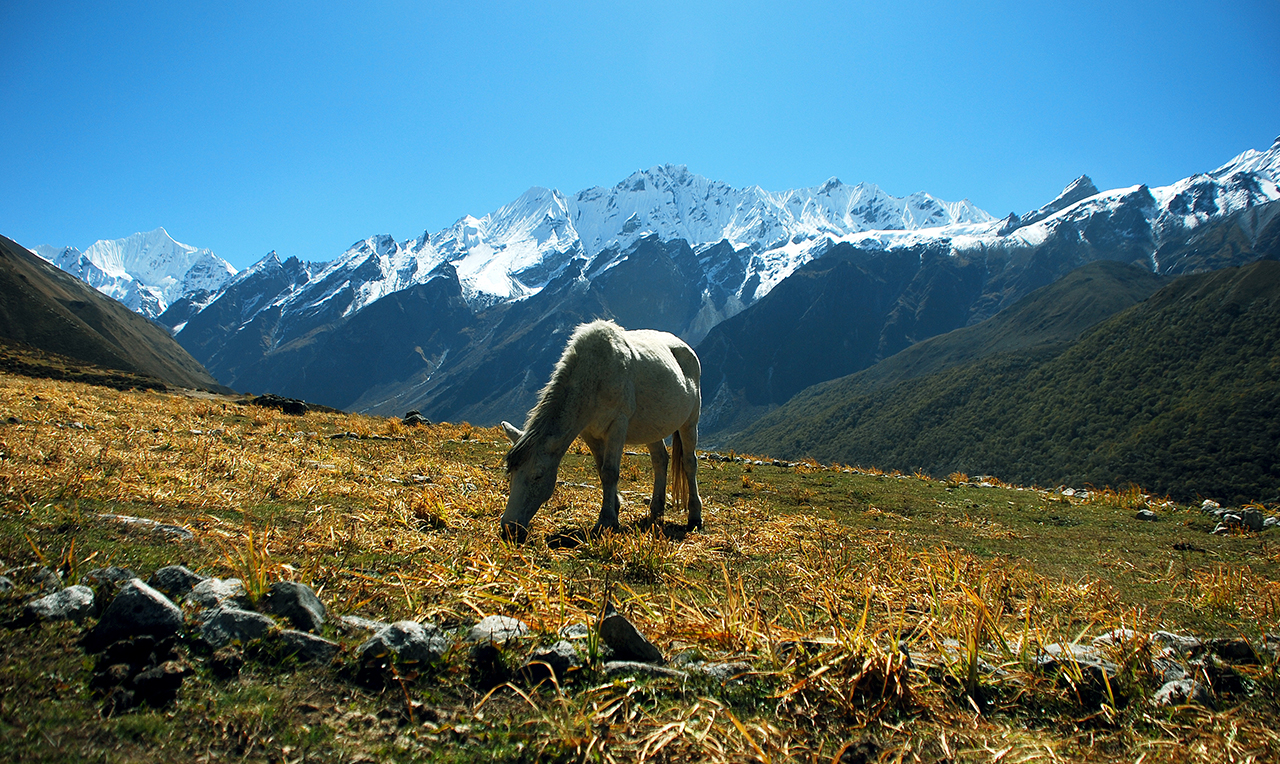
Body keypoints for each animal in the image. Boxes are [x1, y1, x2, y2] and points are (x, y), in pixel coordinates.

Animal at [499, 319, 706, 542]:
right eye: (511, 473)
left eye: (537, 475)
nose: (509, 528)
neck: (594, 374)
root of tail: (685, 348)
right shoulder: (589, 433)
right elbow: (601, 470)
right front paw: (614, 510)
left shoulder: (617, 425)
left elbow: (609, 472)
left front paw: (606, 520)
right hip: (653, 427)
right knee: (660, 460)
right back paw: (656, 510)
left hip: (690, 422)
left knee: (689, 463)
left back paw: (695, 516)